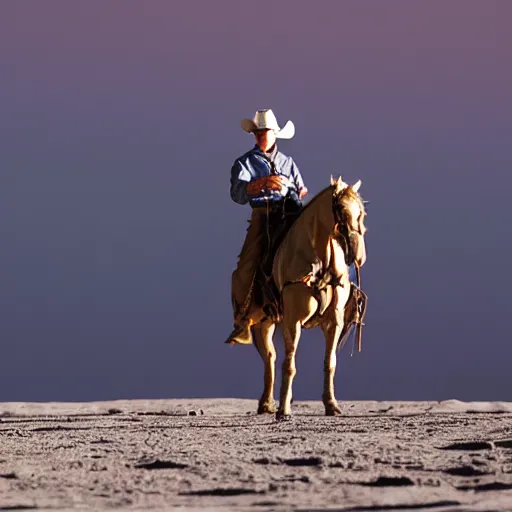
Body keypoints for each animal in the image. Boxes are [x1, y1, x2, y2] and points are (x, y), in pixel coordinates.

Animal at [246, 178, 366, 418]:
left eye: (362, 213)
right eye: (341, 209)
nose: (359, 256)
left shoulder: (334, 321)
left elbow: (330, 362)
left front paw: (331, 405)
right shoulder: (293, 321)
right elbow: (289, 364)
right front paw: (284, 410)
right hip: (263, 324)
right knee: (270, 357)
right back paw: (267, 404)